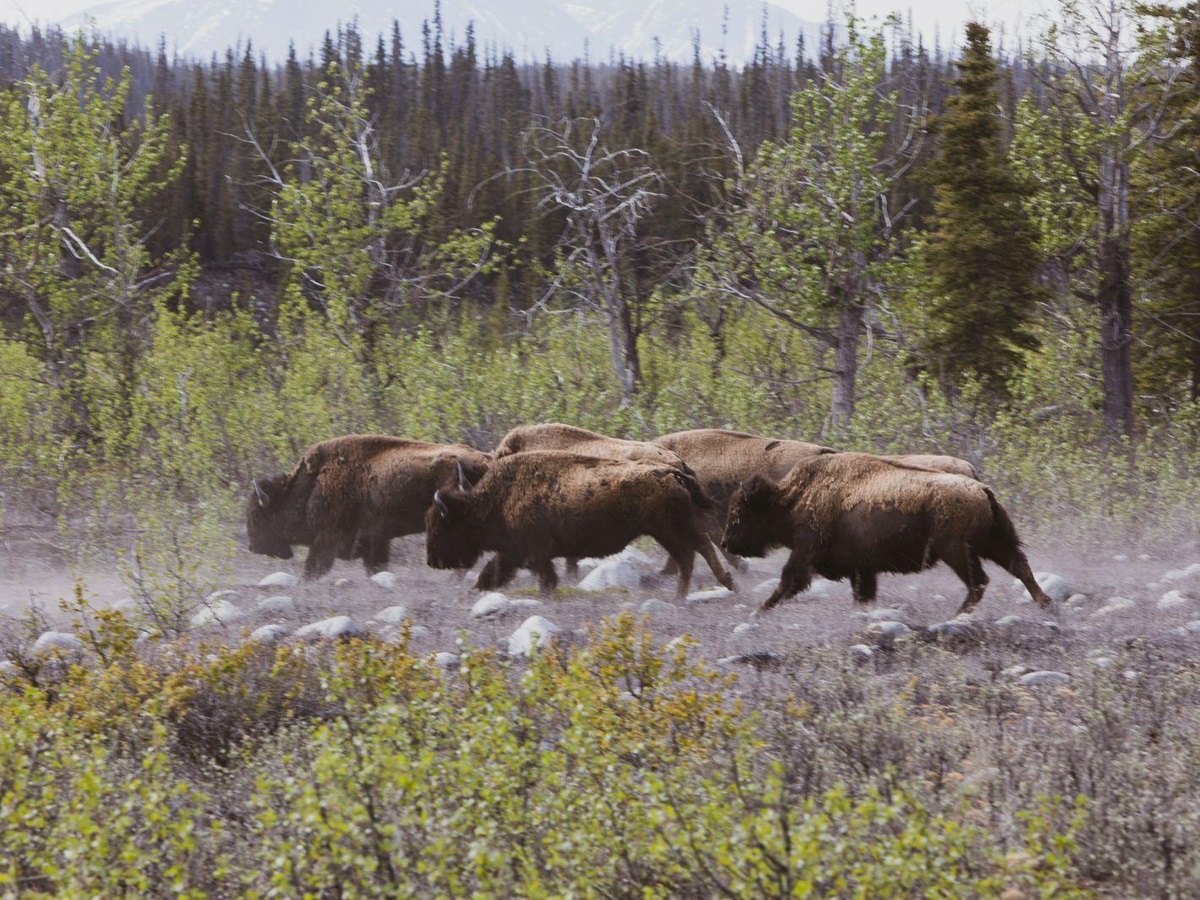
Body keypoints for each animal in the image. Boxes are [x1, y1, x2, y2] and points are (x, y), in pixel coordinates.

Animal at [247, 434, 490, 579]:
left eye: (258, 516)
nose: (253, 547)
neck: (312, 485)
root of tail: (486, 460)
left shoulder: (326, 538)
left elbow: (313, 569)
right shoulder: (376, 540)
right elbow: (376, 567)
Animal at [424, 450, 737, 599]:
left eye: (440, 527)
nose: (431, 561)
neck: (495, 500)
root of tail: (671, 472)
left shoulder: (532, 554)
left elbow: (544, 579)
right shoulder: (513, 554)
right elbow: (492, 574)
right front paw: (472, 591)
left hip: (670, 529)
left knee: (700, 546)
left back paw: (728, 583)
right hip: (665, 533)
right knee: (687, 559)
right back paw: (679, 598)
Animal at [720, 452, 1052, 614]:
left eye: (741, 512)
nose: (725, 542)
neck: (793, 497)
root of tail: (983, 489)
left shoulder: (805, 553)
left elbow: (788, 580)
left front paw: (759, 611)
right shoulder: (862, 569)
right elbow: (863, 594)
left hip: (956, 551)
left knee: (980, 581)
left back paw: (958, 614)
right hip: (991, 544)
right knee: (1019, 566)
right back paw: (1046, 604)